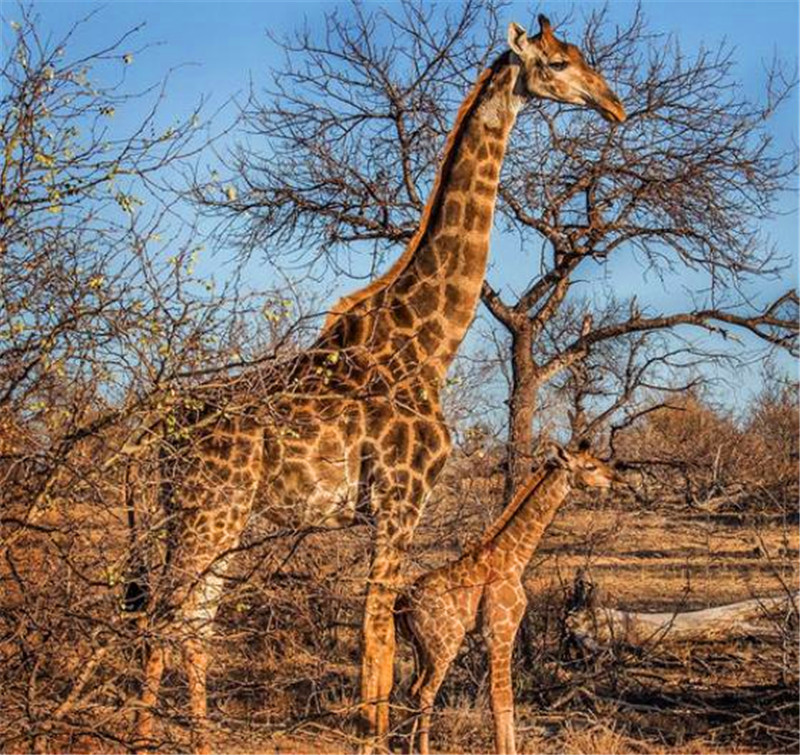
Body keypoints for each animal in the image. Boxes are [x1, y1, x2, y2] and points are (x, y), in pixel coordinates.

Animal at [400, 442, 620, 755]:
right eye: (590, 466)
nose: (615, 479)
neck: (514, 558)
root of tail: (402, 604)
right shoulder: (500, 631)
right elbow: (502, 699)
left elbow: (501, 698)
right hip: (445, 643)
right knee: (427, 692)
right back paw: (422, 749)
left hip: (420, 647)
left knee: (413, 689)